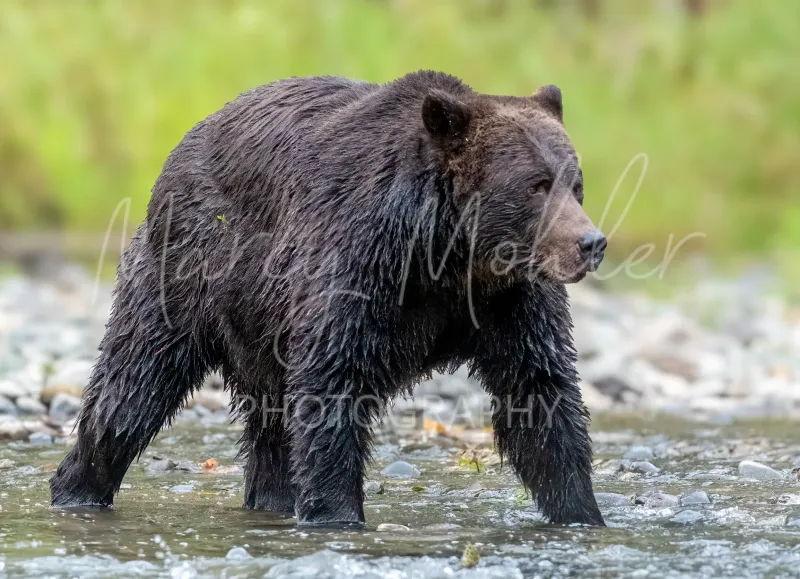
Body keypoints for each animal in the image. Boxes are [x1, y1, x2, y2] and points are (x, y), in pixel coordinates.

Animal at [50, 70, 608, 528]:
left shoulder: (507, 302)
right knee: (134, 385)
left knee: (270, 423)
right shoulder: (357, 266)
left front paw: (582, 512)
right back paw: (78, 488)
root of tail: (183, 143)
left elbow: (539, 393)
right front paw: (337, 514)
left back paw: (271, 499)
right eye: (536, 184)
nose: (591, 242)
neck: (446, 256)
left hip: (263, 331)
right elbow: (333, 384)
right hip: (188, 272)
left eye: (576, 183)